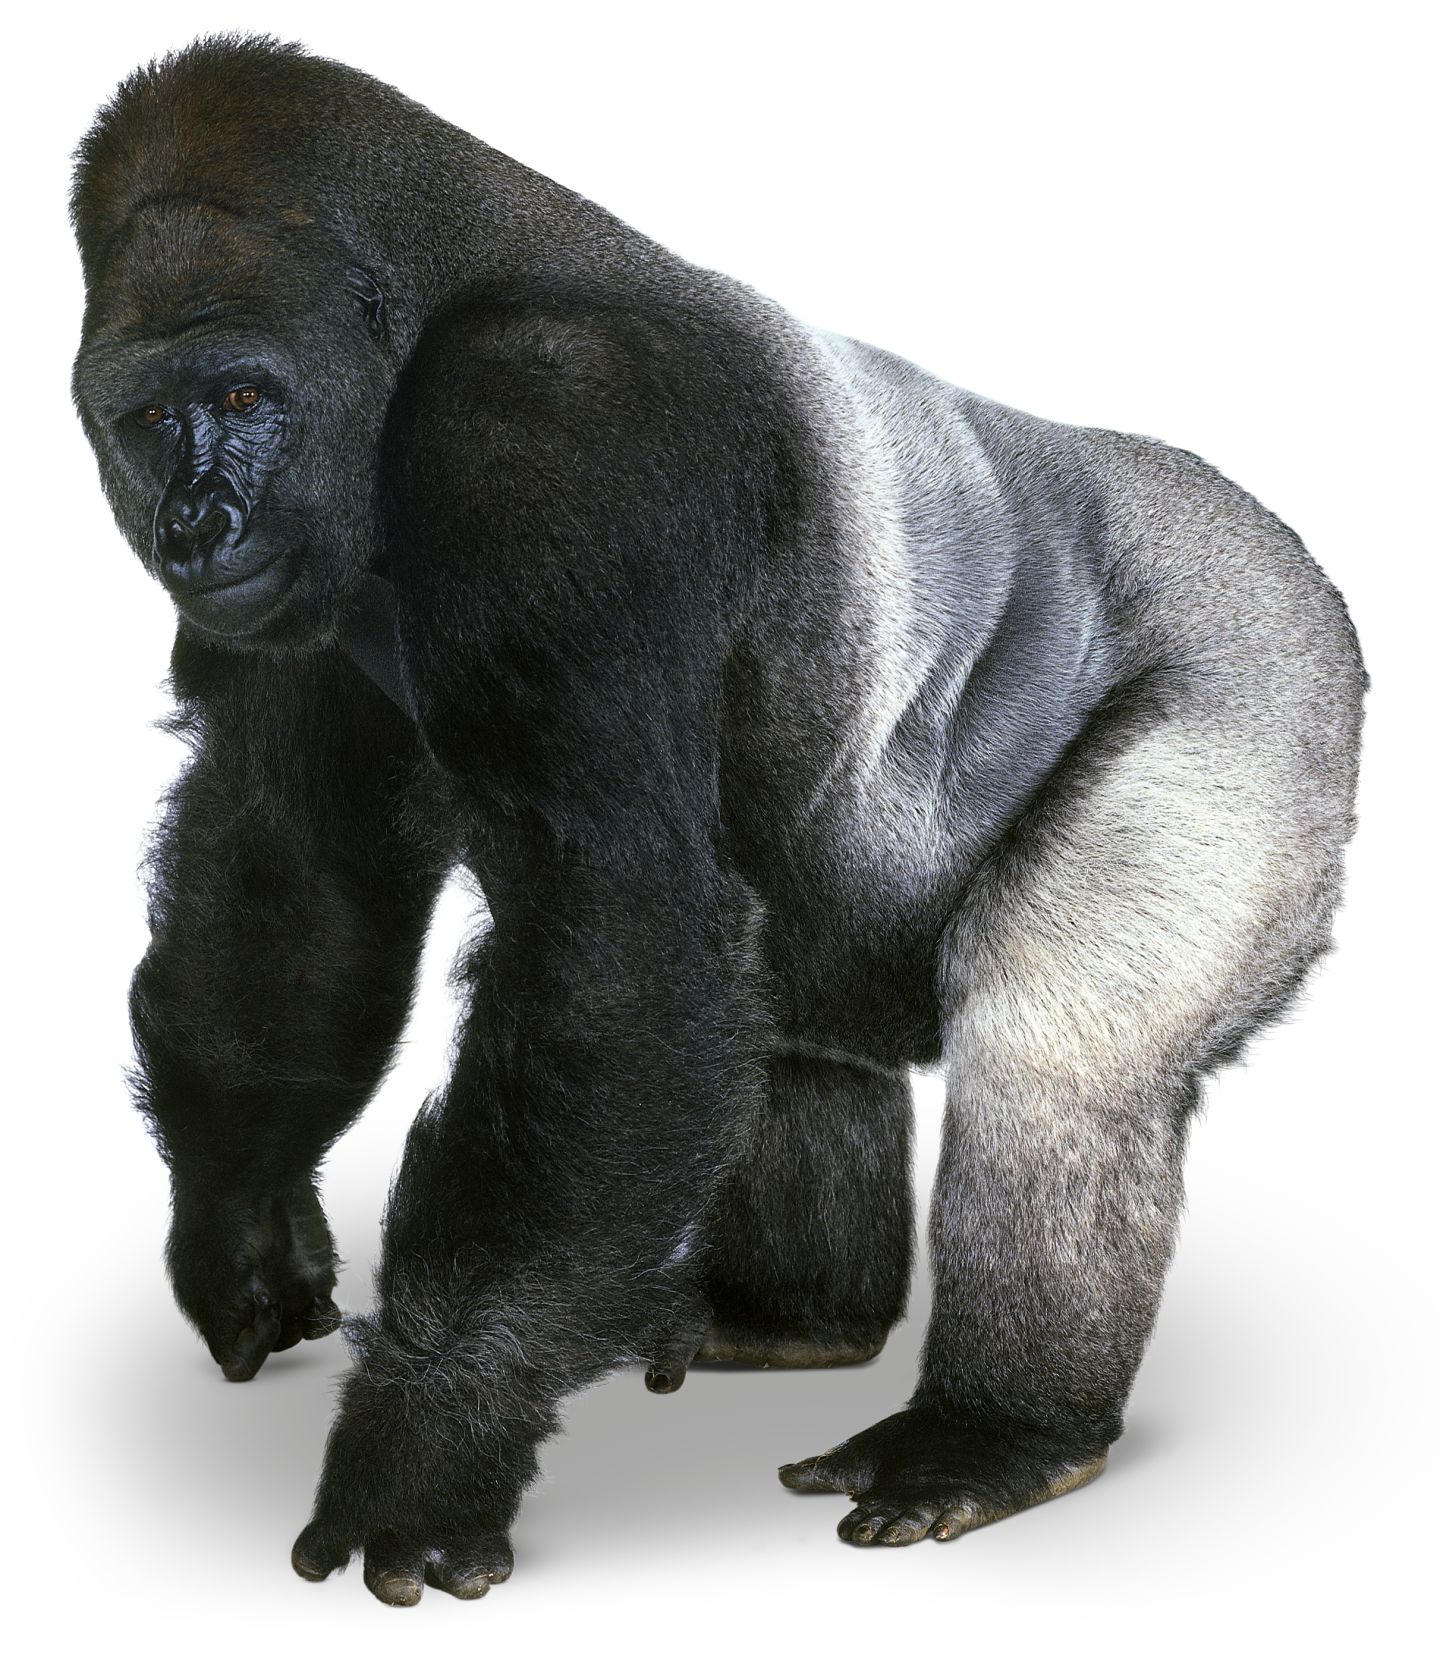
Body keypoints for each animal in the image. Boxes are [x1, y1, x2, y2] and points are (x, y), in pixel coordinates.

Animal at [70, 35, 1364, 1605]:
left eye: (248, 399)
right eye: (149, 419)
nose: (196, 524)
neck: (427, 305)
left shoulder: (553, 428)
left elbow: (616, 934)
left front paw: (430, 1435)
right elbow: (296, 881)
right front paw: (240, 1211)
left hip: (1270, 665)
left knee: (1058, 1044)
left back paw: (1002, 1431)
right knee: (792, 1002)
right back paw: (795, 1315)